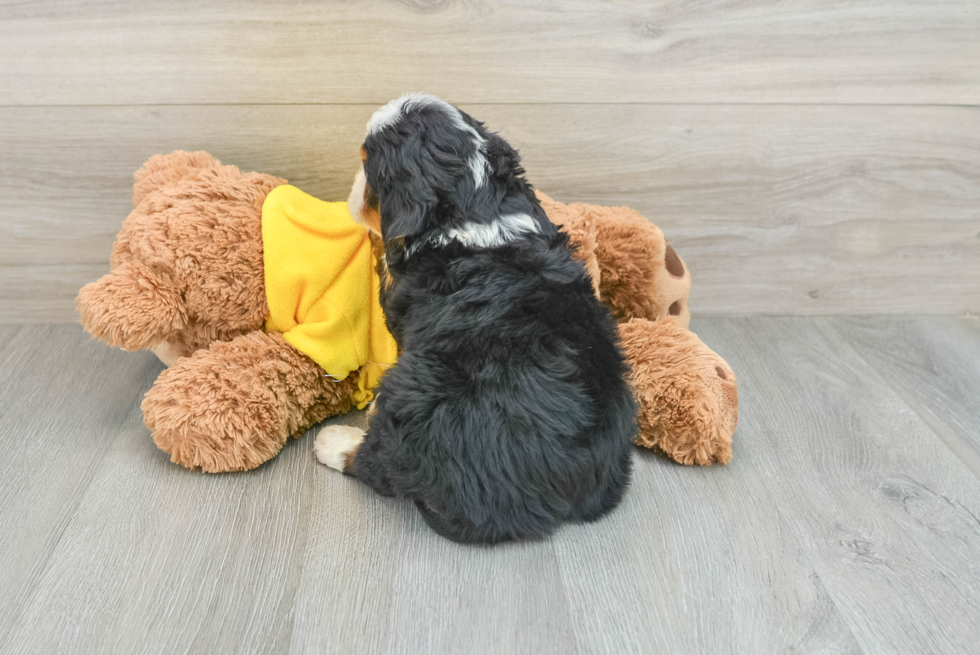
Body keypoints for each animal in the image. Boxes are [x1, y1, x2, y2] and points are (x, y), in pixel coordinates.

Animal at [314, 92, 636, 544]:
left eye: (367, 165)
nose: (354, 189)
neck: (474, 208)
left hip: (413, 393)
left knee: (382, 462)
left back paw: (336, 442)